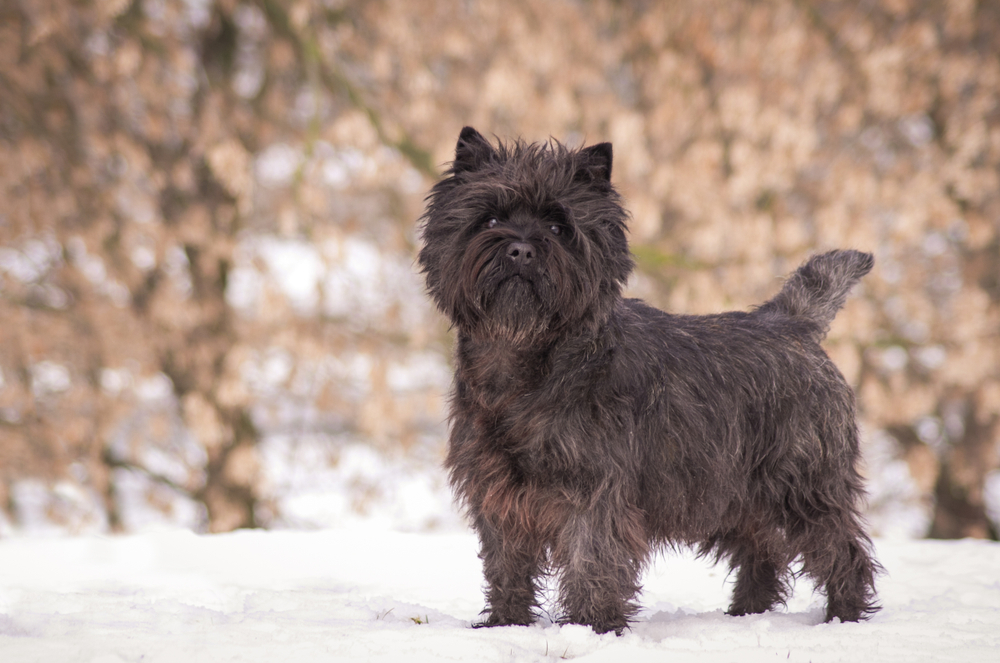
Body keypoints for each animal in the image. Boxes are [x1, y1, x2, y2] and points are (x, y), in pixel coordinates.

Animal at [418, 127, 880, 636]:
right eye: (491, 218)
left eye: (559, 227)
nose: (520, 248)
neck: (525, 363)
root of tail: (792, 323)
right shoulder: (499, 492)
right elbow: (507, 563)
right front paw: (506, 623)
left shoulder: (596, 491)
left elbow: (591, 559)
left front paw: (592, 627)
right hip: (734, 493)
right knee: (763, 550)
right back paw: (746, 612)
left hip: (803, 485)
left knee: (840, 548)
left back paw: (844, 616)